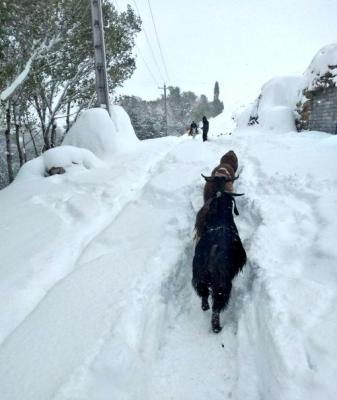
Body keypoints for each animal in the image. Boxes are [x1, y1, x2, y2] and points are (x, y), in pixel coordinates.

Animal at [193, 177, 245, 332]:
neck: (220, 219)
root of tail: (212, 251)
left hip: (199, 277)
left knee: (204, 296)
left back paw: (205, 307)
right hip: (223, 285)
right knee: (216, 307)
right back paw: (216, 328)